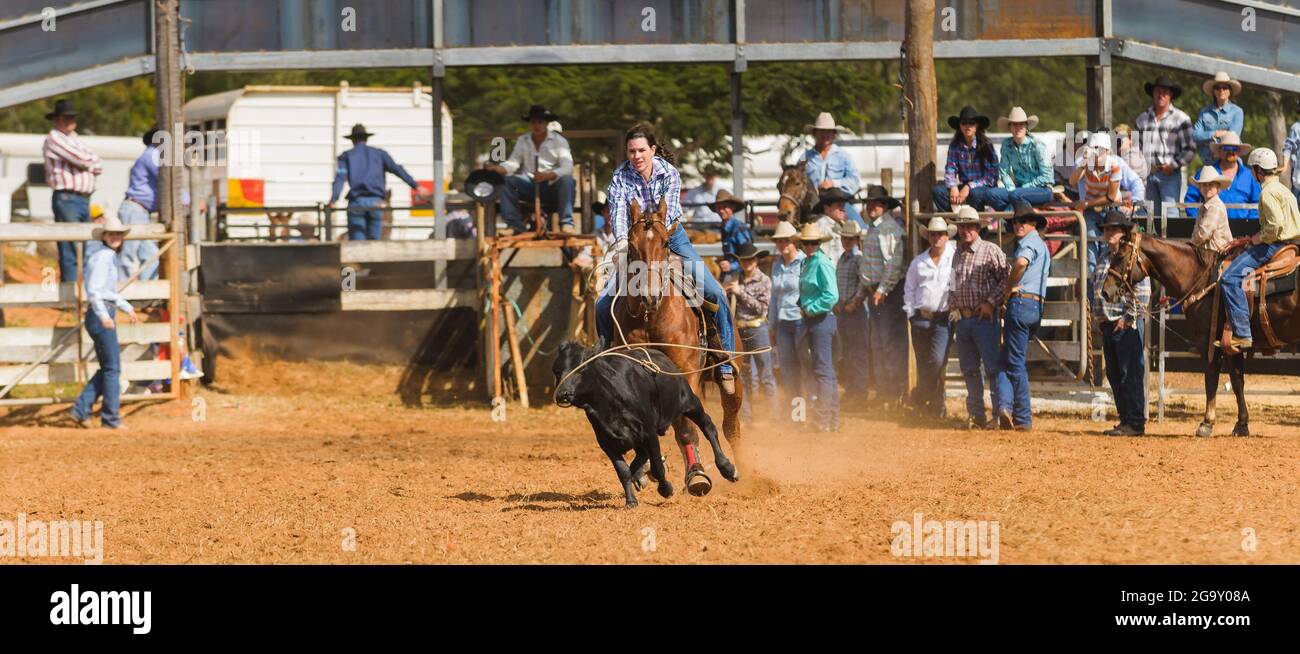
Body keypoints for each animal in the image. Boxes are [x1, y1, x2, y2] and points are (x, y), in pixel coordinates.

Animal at [551, 340, 743, 509]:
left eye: (582, 367)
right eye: (556, 370)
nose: (563, 394)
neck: (609, 402)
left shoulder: (649, 432)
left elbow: (658, 467)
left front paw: (666, 489)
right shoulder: (606, 442)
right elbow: (623, 471)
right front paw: (631, 501)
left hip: (689, 402)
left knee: (708, 427)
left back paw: (728, 468)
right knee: (641, 455)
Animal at [616, 200, 748, 496]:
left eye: (665, 243)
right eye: (631, 244)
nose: (650, 296)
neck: (652, 317)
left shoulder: (686, 373)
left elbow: (688, 428)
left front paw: (698, 475)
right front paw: (644, 473)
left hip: (734, 378)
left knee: (731, 425)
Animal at [1097, 227, 1300, 436]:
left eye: (1120, 255)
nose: (1105, 292)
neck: (1201, 277)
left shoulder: (1208, 342)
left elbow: (1211, 380)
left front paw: (1206, 424)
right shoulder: (1230, 346)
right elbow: (1237, 382)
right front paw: (1241, 424)